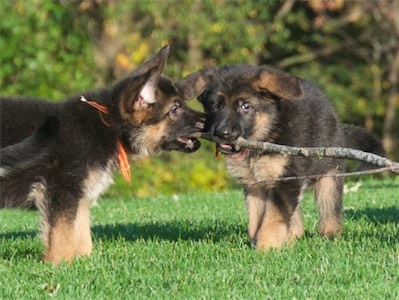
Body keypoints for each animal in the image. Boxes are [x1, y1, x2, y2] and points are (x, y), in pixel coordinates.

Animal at [0, 45, 206, 264]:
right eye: (175, 109)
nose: (207, 118)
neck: (109, 125)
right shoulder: (60, 193)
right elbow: (62, 240)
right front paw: (58, 266)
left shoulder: (79, 199)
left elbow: (81, 238)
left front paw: (83, 264)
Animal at [176, 64, 384, 250]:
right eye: (214, 106)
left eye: (245, 106)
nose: (222, 132)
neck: (266, 132)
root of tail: (338, 124)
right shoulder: (256, 185)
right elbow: (256, 221)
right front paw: (258, 245)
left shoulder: (285, 179)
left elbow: (272, 219)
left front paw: (265, 249)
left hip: (329, 175)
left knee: (329, 212)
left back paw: (329, 236)